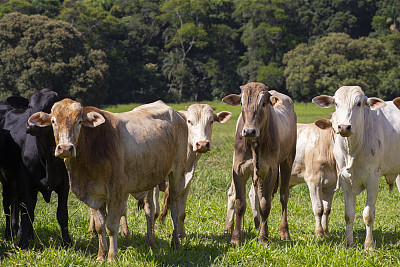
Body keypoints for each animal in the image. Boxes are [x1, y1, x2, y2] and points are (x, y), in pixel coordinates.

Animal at [0, 90, 71, 249]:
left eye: (50, 106)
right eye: (30, 106)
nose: (32, 125)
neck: (47, 159)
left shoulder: (65, 183)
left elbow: (62, 214)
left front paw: (67, 242)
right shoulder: (26, 182)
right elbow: (27, 214)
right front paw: (23, 243)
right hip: (6, 179)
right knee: (8, 205)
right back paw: (9, 234)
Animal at [28, 99, 188, 262]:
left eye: (79, 121)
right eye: (53, 121)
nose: (65, 148)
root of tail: (177, 114)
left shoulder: (116, 190)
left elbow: (111, 226)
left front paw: (112, 256)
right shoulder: (93, 194)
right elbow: (100, 226)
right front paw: (101, 255)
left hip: (177, 171)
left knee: (175, 209)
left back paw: (175, 244)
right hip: (149, 179)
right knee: (150, 210)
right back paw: (149, 243)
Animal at [222, 82, 296, 246]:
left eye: (263, 104)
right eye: (241, 103)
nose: (249, 131)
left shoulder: (270, 170)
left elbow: (265, 204)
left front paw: (263, 238)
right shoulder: (239, 169)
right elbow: (240, 204)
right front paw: (236, 238)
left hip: (287, 161)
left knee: (283, 196)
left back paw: (284, 232)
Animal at [314, 86, 400, 251]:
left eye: (359, 103)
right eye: (336, 103)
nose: (344, 127)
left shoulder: (373, 179)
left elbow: (368, 214)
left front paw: (369, 245)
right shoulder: (345, 180)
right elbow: (349, 214)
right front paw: (349, 243)